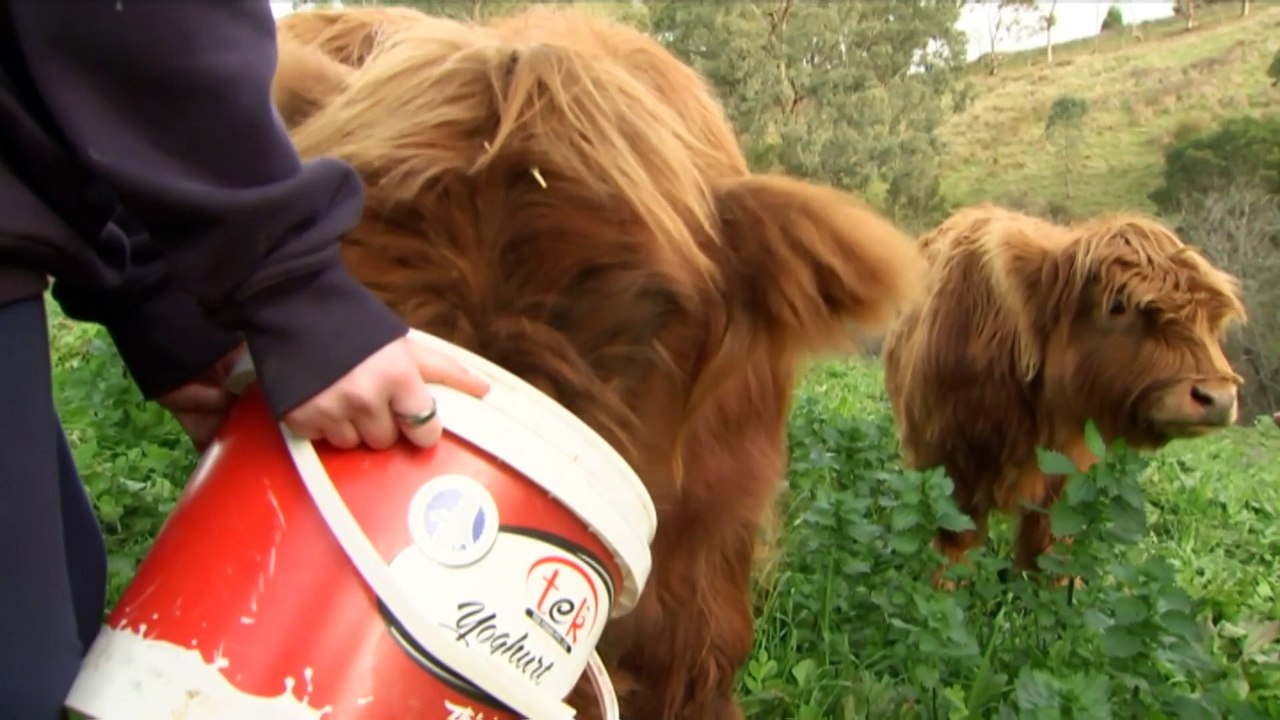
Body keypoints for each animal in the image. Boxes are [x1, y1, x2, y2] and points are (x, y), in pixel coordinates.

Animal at [881, 203, 1247, 584]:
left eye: (1211, 321)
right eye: (1117, 305)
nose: (1217, 397)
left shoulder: (1069, 478)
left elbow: (1051, 548)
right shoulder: (951, 460)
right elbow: (956, 542)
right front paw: (944, 589)